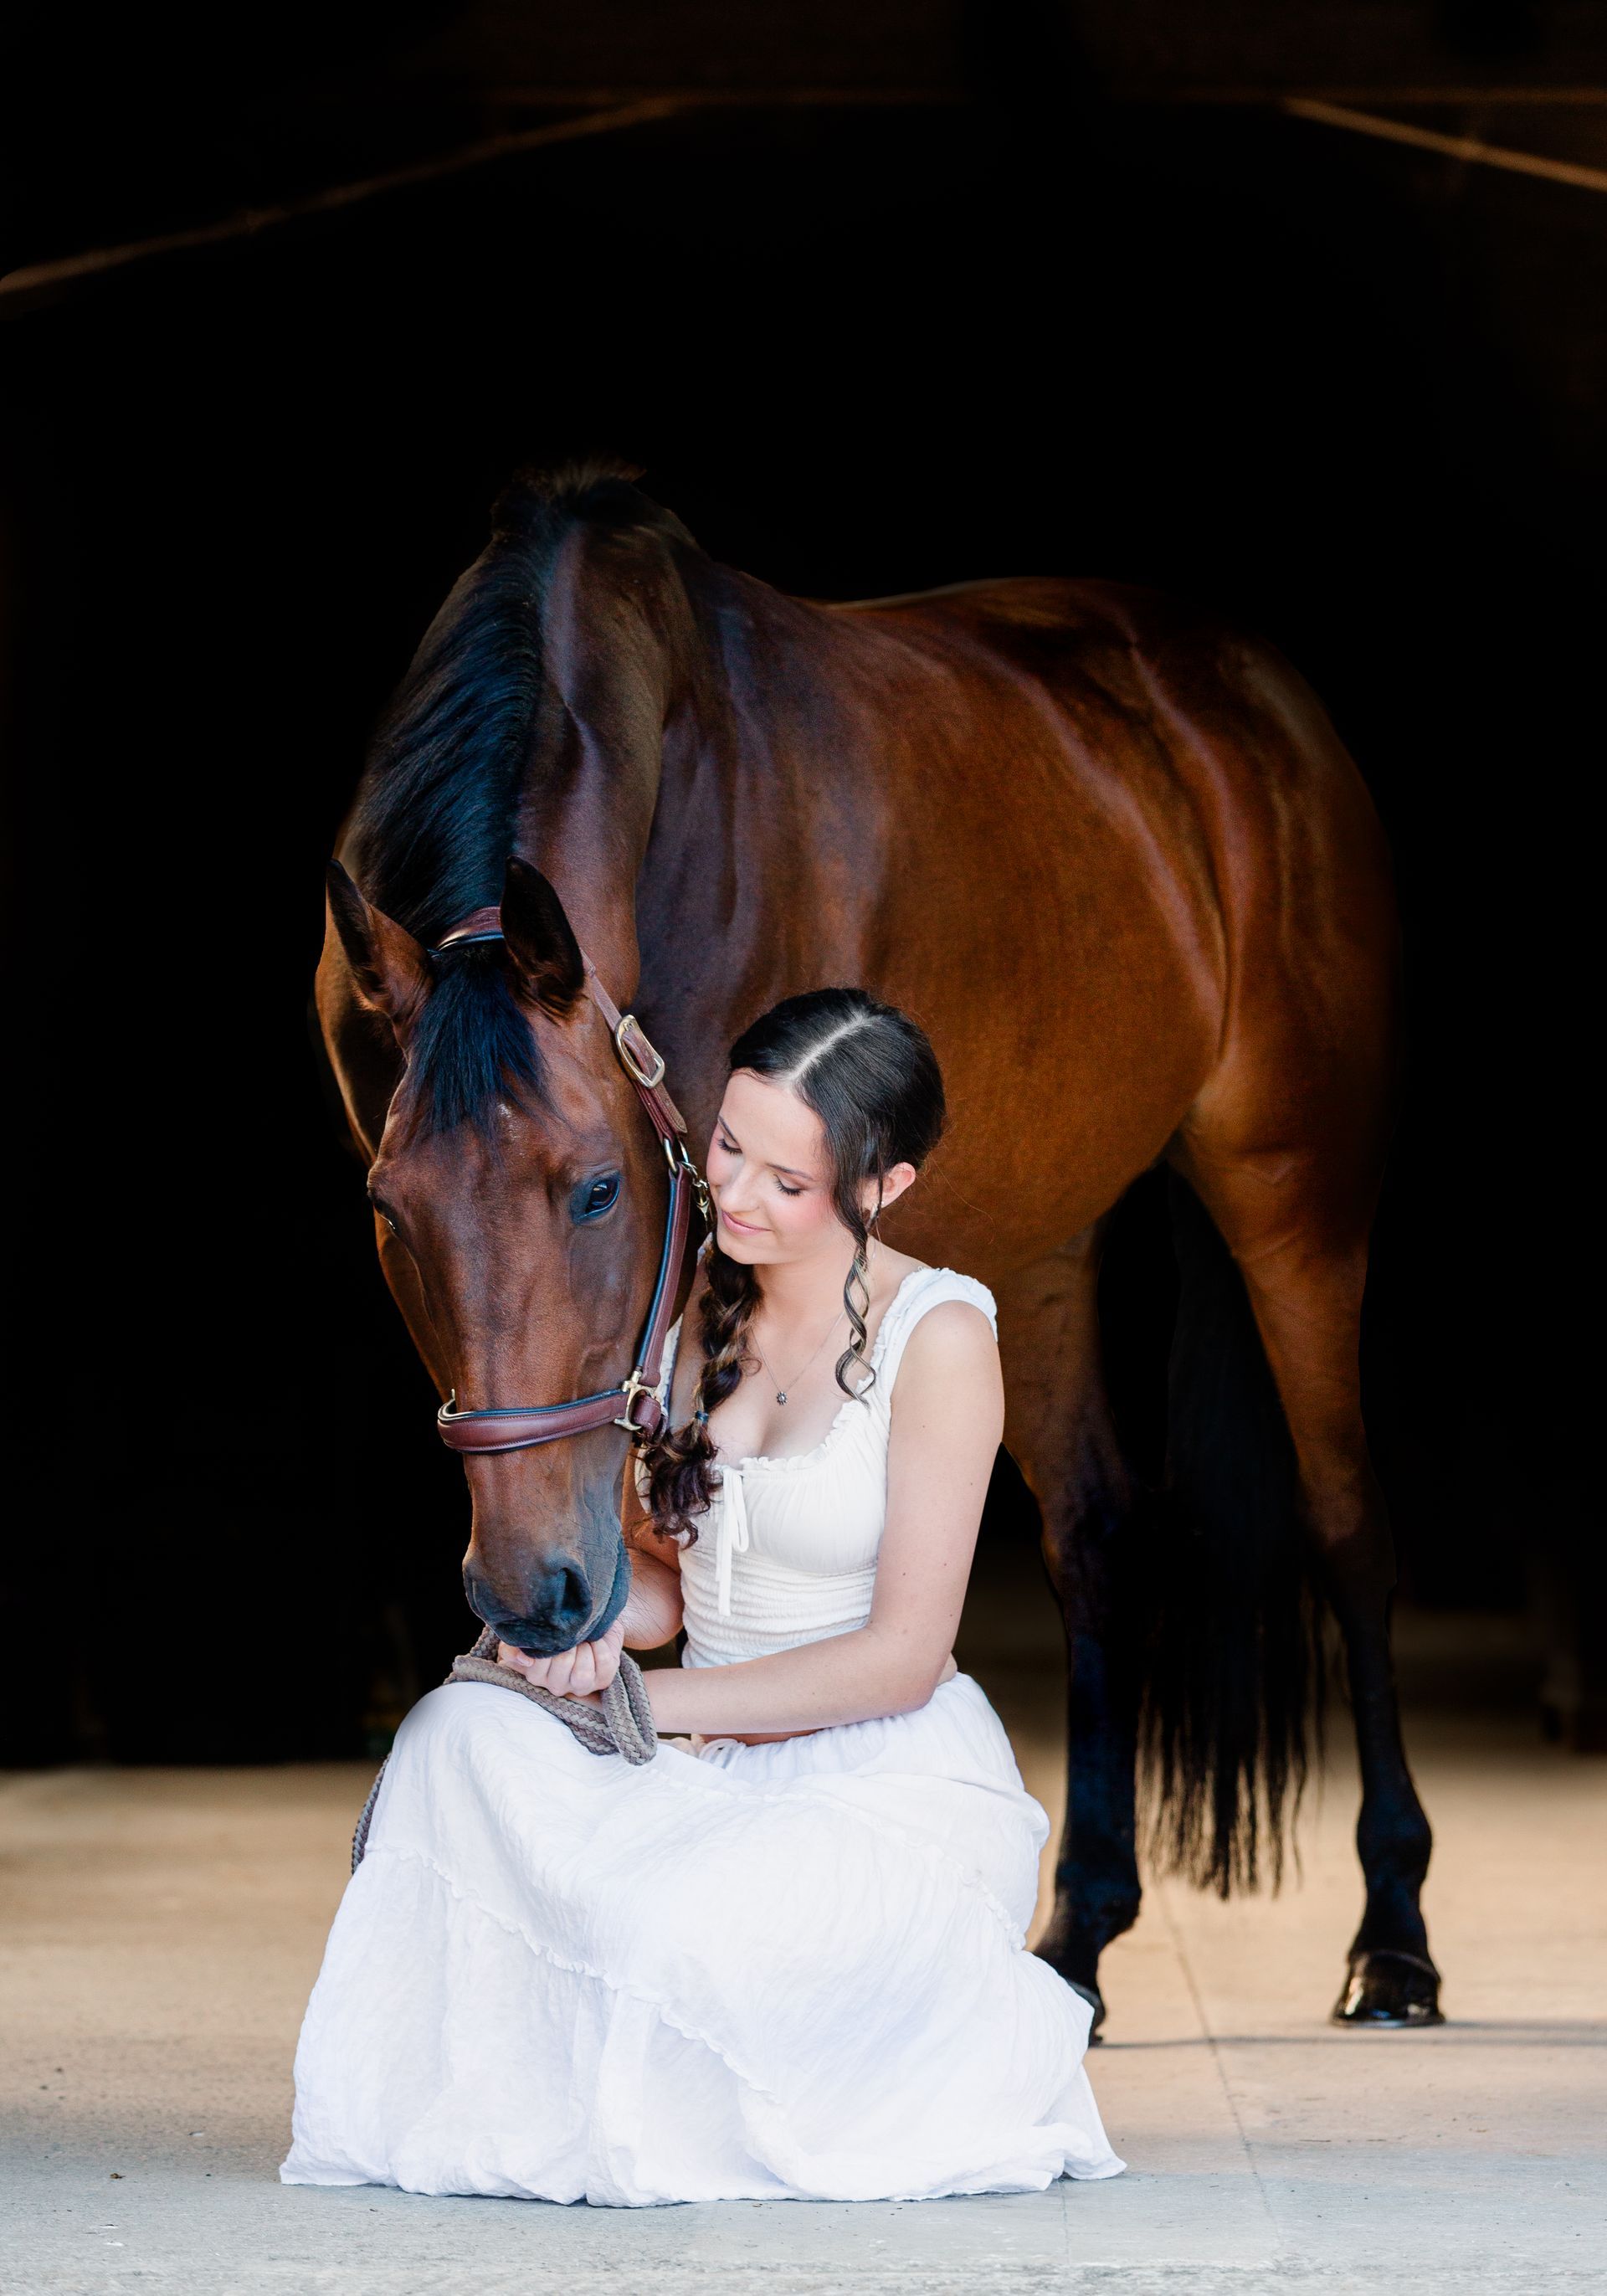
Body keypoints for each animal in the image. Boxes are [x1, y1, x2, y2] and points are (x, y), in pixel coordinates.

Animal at [315, 457, 1440, 2032]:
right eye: (387, 1210)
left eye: (597, 1189)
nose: (533, 1595)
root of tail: (1254, 697)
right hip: (1038, 1240)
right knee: (1098, 1530)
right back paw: (1078, 1929)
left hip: (1297, 1192)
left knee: (1346, 1524)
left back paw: (1393, 1929)